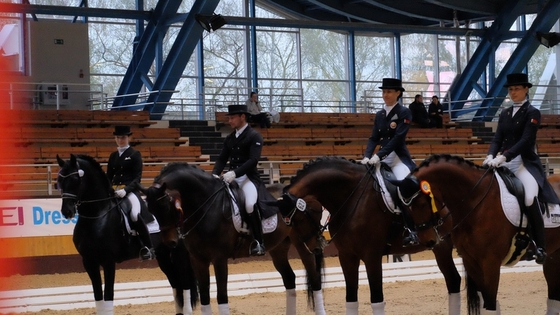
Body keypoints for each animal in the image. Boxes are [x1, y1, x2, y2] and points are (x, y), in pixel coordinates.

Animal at [55, 156, 198, 315]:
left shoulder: (108, 261)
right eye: (60, 180)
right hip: (163, 255)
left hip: (179, 253)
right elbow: (98, 299)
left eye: (75, 179)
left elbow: (108, 298)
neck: (97, 217)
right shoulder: (89, 261)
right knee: (176, 284)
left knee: (185, 285)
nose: (67, 211)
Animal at [137, 163, 326, 315]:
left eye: (165, 206)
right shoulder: (198, 260)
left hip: (305, 243)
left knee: (315, 279)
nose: (170, 242)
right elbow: (205, 298)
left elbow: (221, 297)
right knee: (289, 278)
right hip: (278, 248)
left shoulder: (219, 258)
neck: (206, 205)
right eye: (150, 210)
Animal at [270, 158, 462, 315]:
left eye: (304, 215)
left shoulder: (372, 256)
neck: (351, 199)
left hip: (443, 244)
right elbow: (351, 300)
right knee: (453, 280)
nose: (315, 246)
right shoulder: (347, 256)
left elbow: (376, 301)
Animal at [394, 154, 560, 314]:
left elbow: (490, 305)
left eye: (422, 204)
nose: (428, 241)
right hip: (553, 258)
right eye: (406, 207)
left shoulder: (491, 263)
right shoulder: (471, 262)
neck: (477, 202)